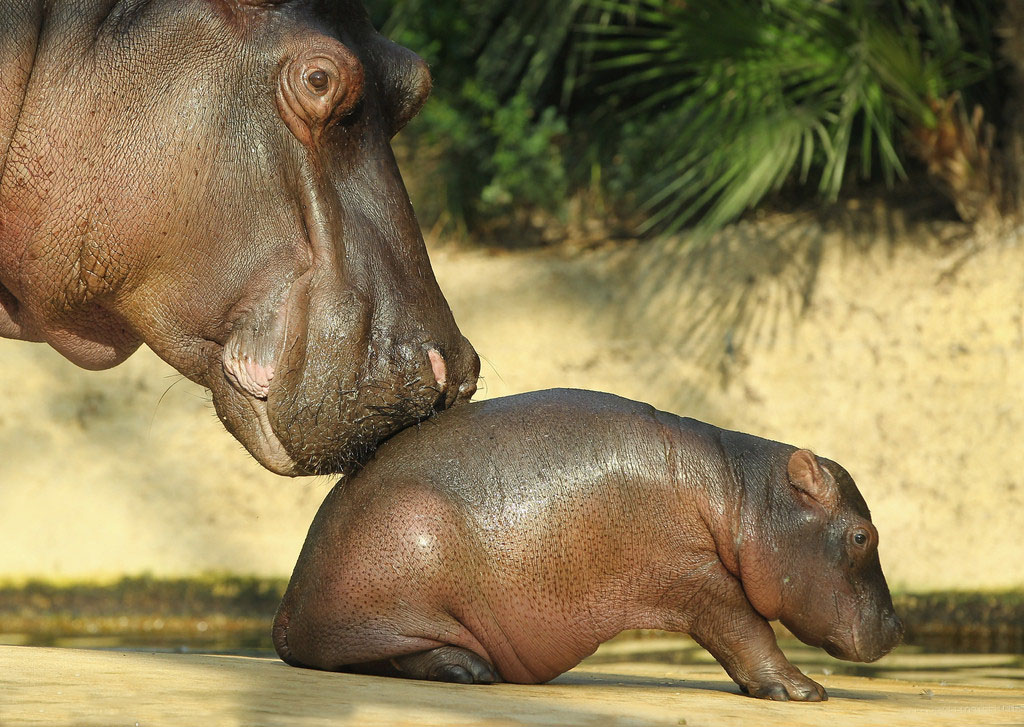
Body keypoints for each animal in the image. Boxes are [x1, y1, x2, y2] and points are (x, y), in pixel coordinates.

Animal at [273, 389, 903, 700]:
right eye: (862, 534)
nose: (899, 628)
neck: (743, 497)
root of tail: (284, 609)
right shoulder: (700, 582)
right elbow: (748, 633)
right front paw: (803, 691)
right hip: (408, 553)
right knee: (388, 654)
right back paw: (469, 671)